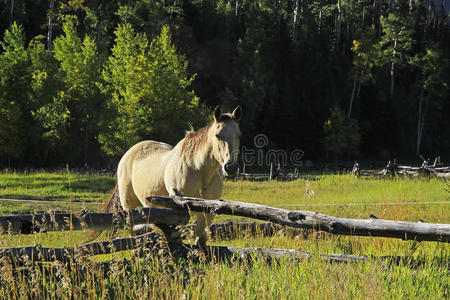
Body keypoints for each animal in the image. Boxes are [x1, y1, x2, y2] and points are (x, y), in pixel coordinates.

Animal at [96, 106, 241, 246]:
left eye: (239, 135)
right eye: (217, 135)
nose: (231, 168)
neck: (200, 171)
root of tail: (127, 154)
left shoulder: (207, 213)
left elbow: (200, 242)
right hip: (129, 208)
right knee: (133, 236)